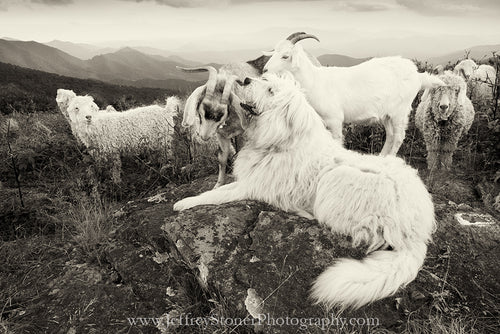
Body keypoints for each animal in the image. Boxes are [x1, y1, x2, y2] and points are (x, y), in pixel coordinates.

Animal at [174, 73, 436, 310]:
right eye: (265, 80)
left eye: (271, 91)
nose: (245, 80)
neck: (281, 141)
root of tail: (417, 234)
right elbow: (219, 188)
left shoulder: (251, 185)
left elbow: (214, 195)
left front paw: (183, 202)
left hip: (335, 180)